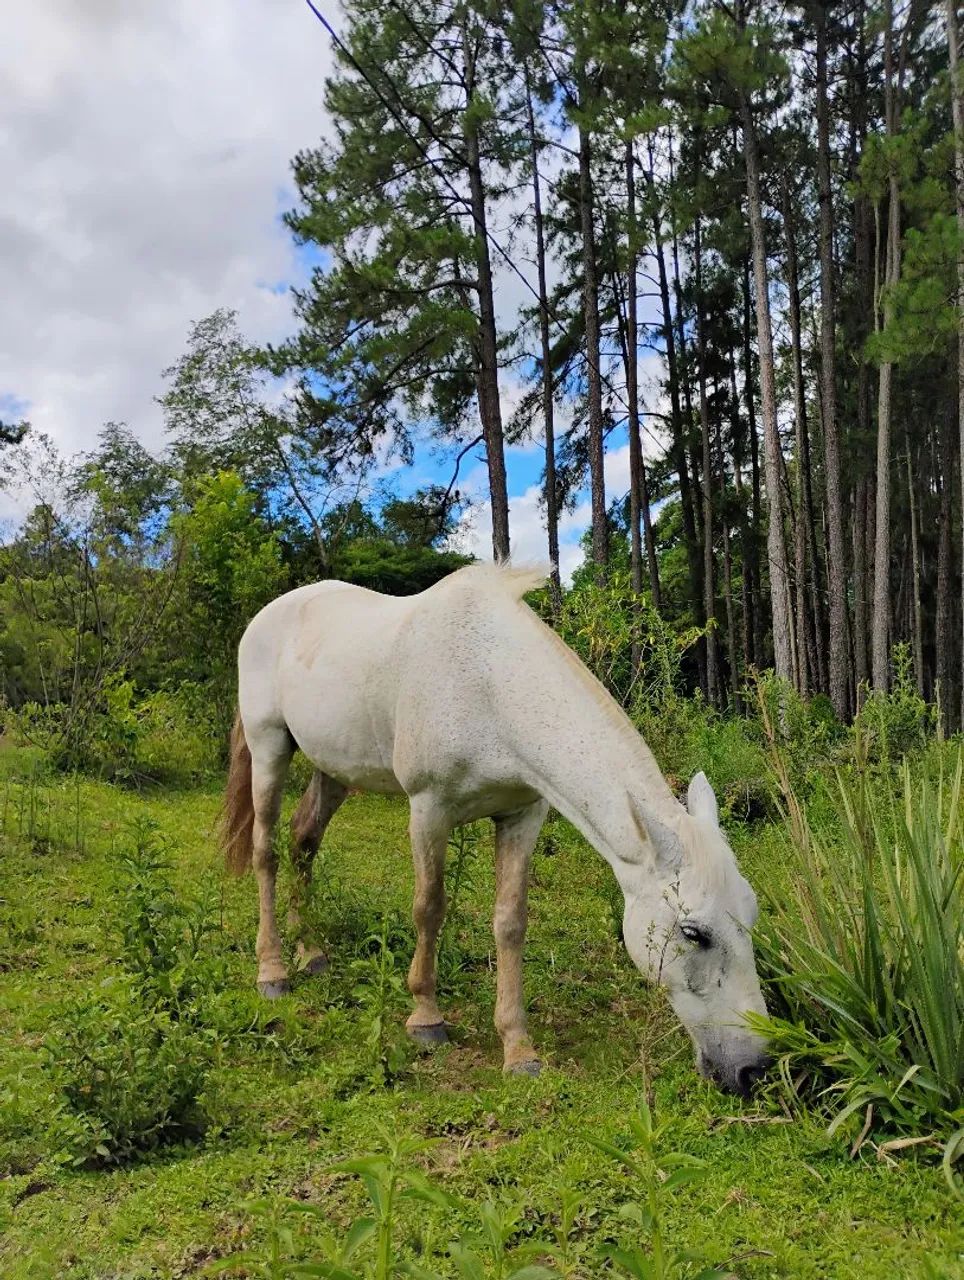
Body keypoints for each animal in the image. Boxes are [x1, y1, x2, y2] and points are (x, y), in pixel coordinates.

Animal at [221, 563, 768, 1094]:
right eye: (694, 933)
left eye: (751, 915)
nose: (753, 1070)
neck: (486, 685)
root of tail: (267, 615)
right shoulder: (429, 809)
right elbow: (429, 907)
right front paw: (425, 1017)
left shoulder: (522, 816)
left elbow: (510, 923)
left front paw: (518, 1048)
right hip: (270, 747)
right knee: (267, 851)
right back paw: (273, 970)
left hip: (333, 768)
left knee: (304, 843)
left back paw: (311, 951)